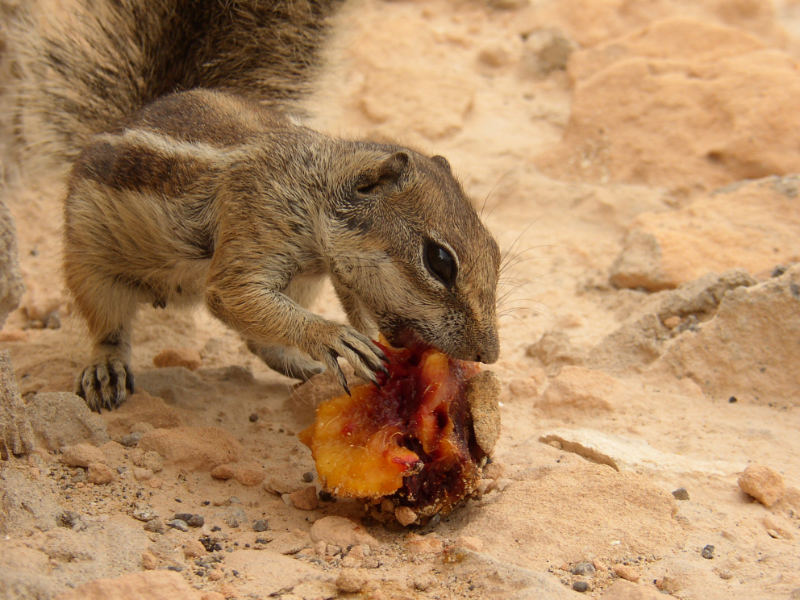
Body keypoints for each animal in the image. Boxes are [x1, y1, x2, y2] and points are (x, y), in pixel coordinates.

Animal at [3, 0, 500, 410]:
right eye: (439, 261)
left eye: (494, 249)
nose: (489, 354)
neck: (312, 182)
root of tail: (127, 116)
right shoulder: (256, 216)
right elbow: (232, 293)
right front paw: (334, 336)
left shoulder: (330, 271)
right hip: (90, 267)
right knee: (108, 328)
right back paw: (106, 368)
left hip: (300, 287)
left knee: (257, 342)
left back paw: (302, 366)